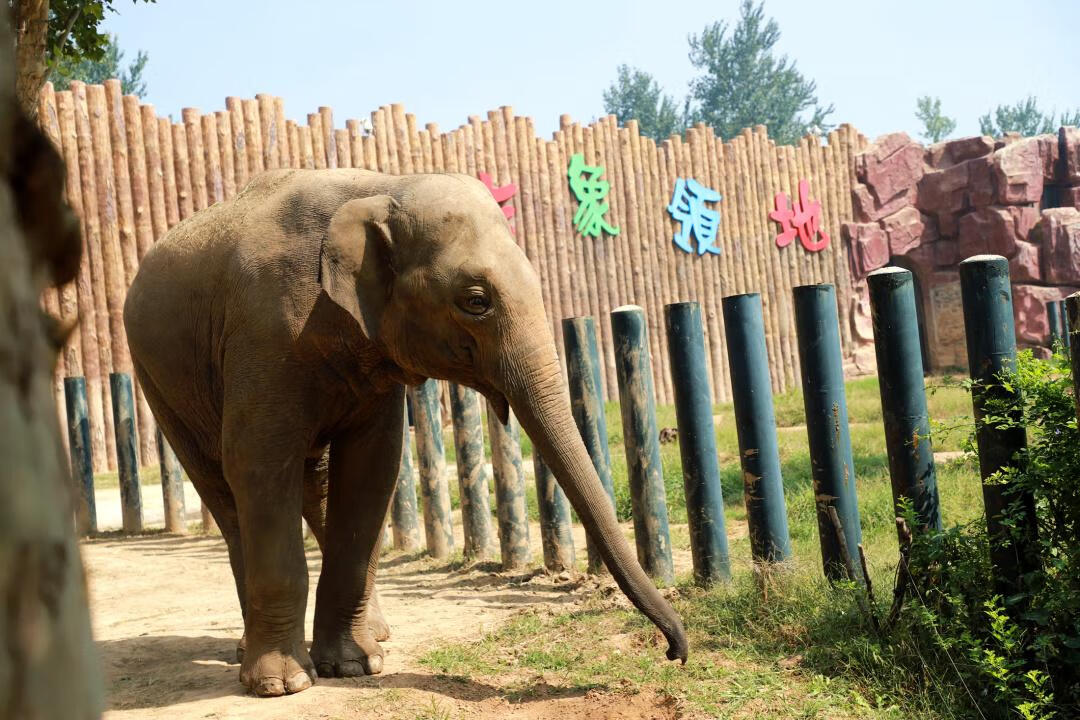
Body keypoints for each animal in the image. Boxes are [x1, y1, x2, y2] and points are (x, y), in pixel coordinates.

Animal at [122, 166, 686, 695]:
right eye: (476, 300)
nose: (674, 653)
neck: (384, 187)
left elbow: (373, 469)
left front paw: (354, 667)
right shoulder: (263, 334)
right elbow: (257, 463)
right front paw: (284, 685)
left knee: (318, 485)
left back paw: (374, 636)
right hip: (160, 383)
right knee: (223, 492)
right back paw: (253, 657)